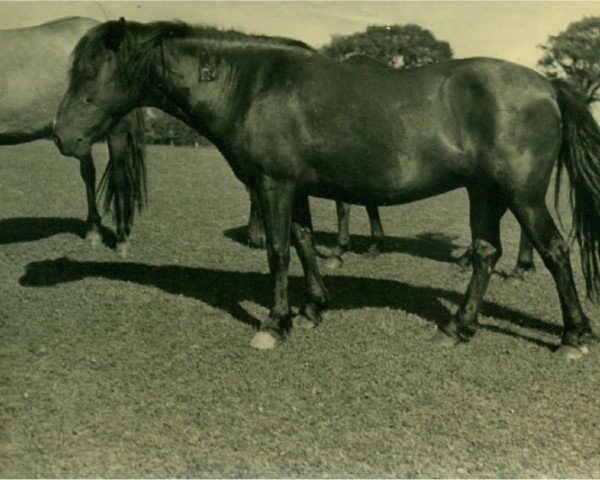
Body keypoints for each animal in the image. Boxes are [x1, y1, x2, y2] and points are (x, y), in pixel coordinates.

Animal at [0, 16, 146, 253]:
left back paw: (122, 238)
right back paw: (93, 231)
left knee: (119, 177)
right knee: (89, 174)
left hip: (116, 130)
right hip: (78, 138)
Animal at [54, 18, 600, 358]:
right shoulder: (294, 188)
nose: (63, 136)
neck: (250, 85)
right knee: (486, 253)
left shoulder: (273, 185)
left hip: (521, 195)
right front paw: (313, 308)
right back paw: (457, 328)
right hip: (484, 192)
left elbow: (276, 249)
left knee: (554, 251)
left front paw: (274, 324)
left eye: (89, 71)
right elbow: (302, 243)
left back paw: (573, 337)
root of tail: (547, 85)